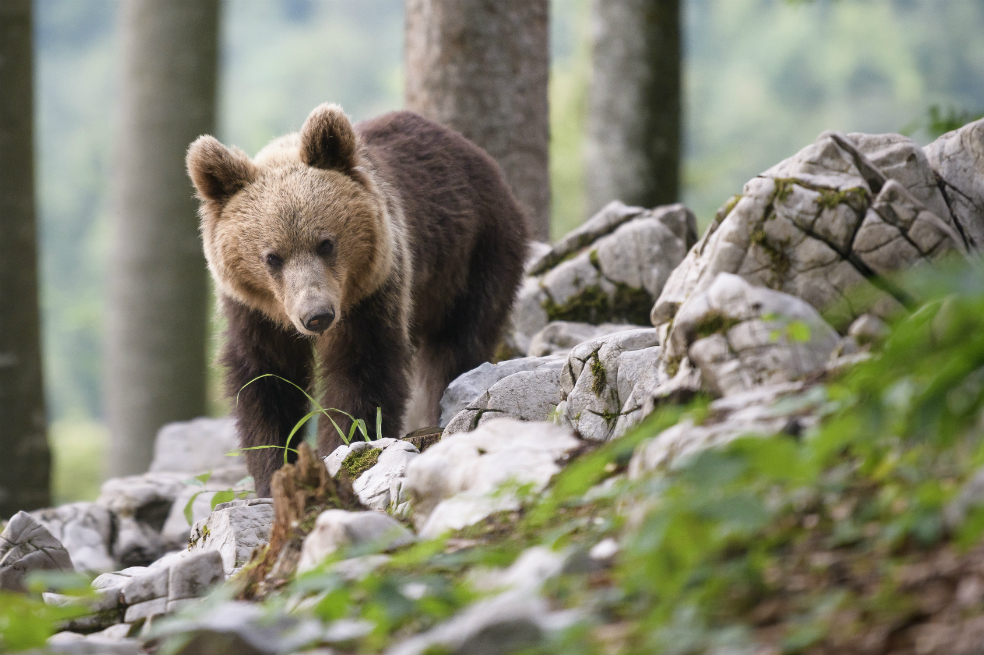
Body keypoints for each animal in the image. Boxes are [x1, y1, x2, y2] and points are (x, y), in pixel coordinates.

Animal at [186, 104, 530, 496]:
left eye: (326, 243)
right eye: (272, 257)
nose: (316, 315)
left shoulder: (372, 292)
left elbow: (363, 371)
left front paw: (343, 447)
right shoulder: (254, 312)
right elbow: (267, 381)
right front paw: (273, 470)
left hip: (474, 254)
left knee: (458, 343)